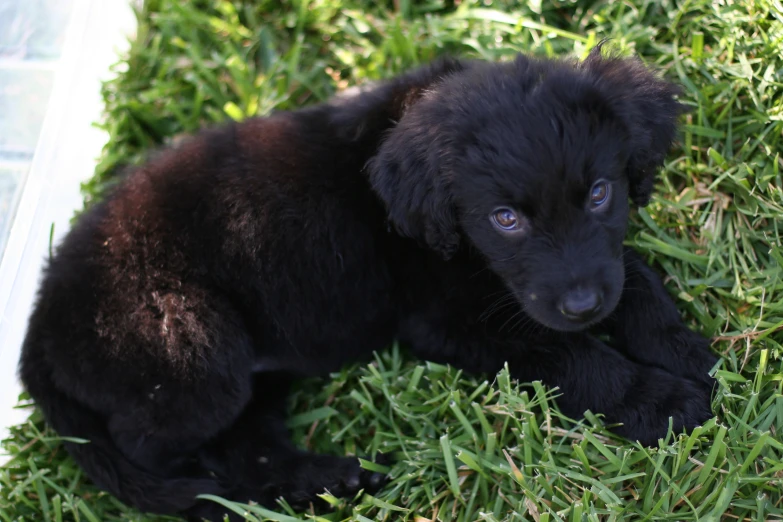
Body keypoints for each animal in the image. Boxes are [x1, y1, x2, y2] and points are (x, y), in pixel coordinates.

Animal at [19, 46, 716, 516]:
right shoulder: (453, 321)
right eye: (506, 219)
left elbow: (633, 276)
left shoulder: (586, 268)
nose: (582, 303)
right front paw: (660, 399)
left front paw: (684, 350)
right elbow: (571, 355)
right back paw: (223, 499)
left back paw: (323, 481)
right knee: (165, 447)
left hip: (257, 366)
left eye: (600, 193)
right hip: (191, 350)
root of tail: (39, 322)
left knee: (247, 441)